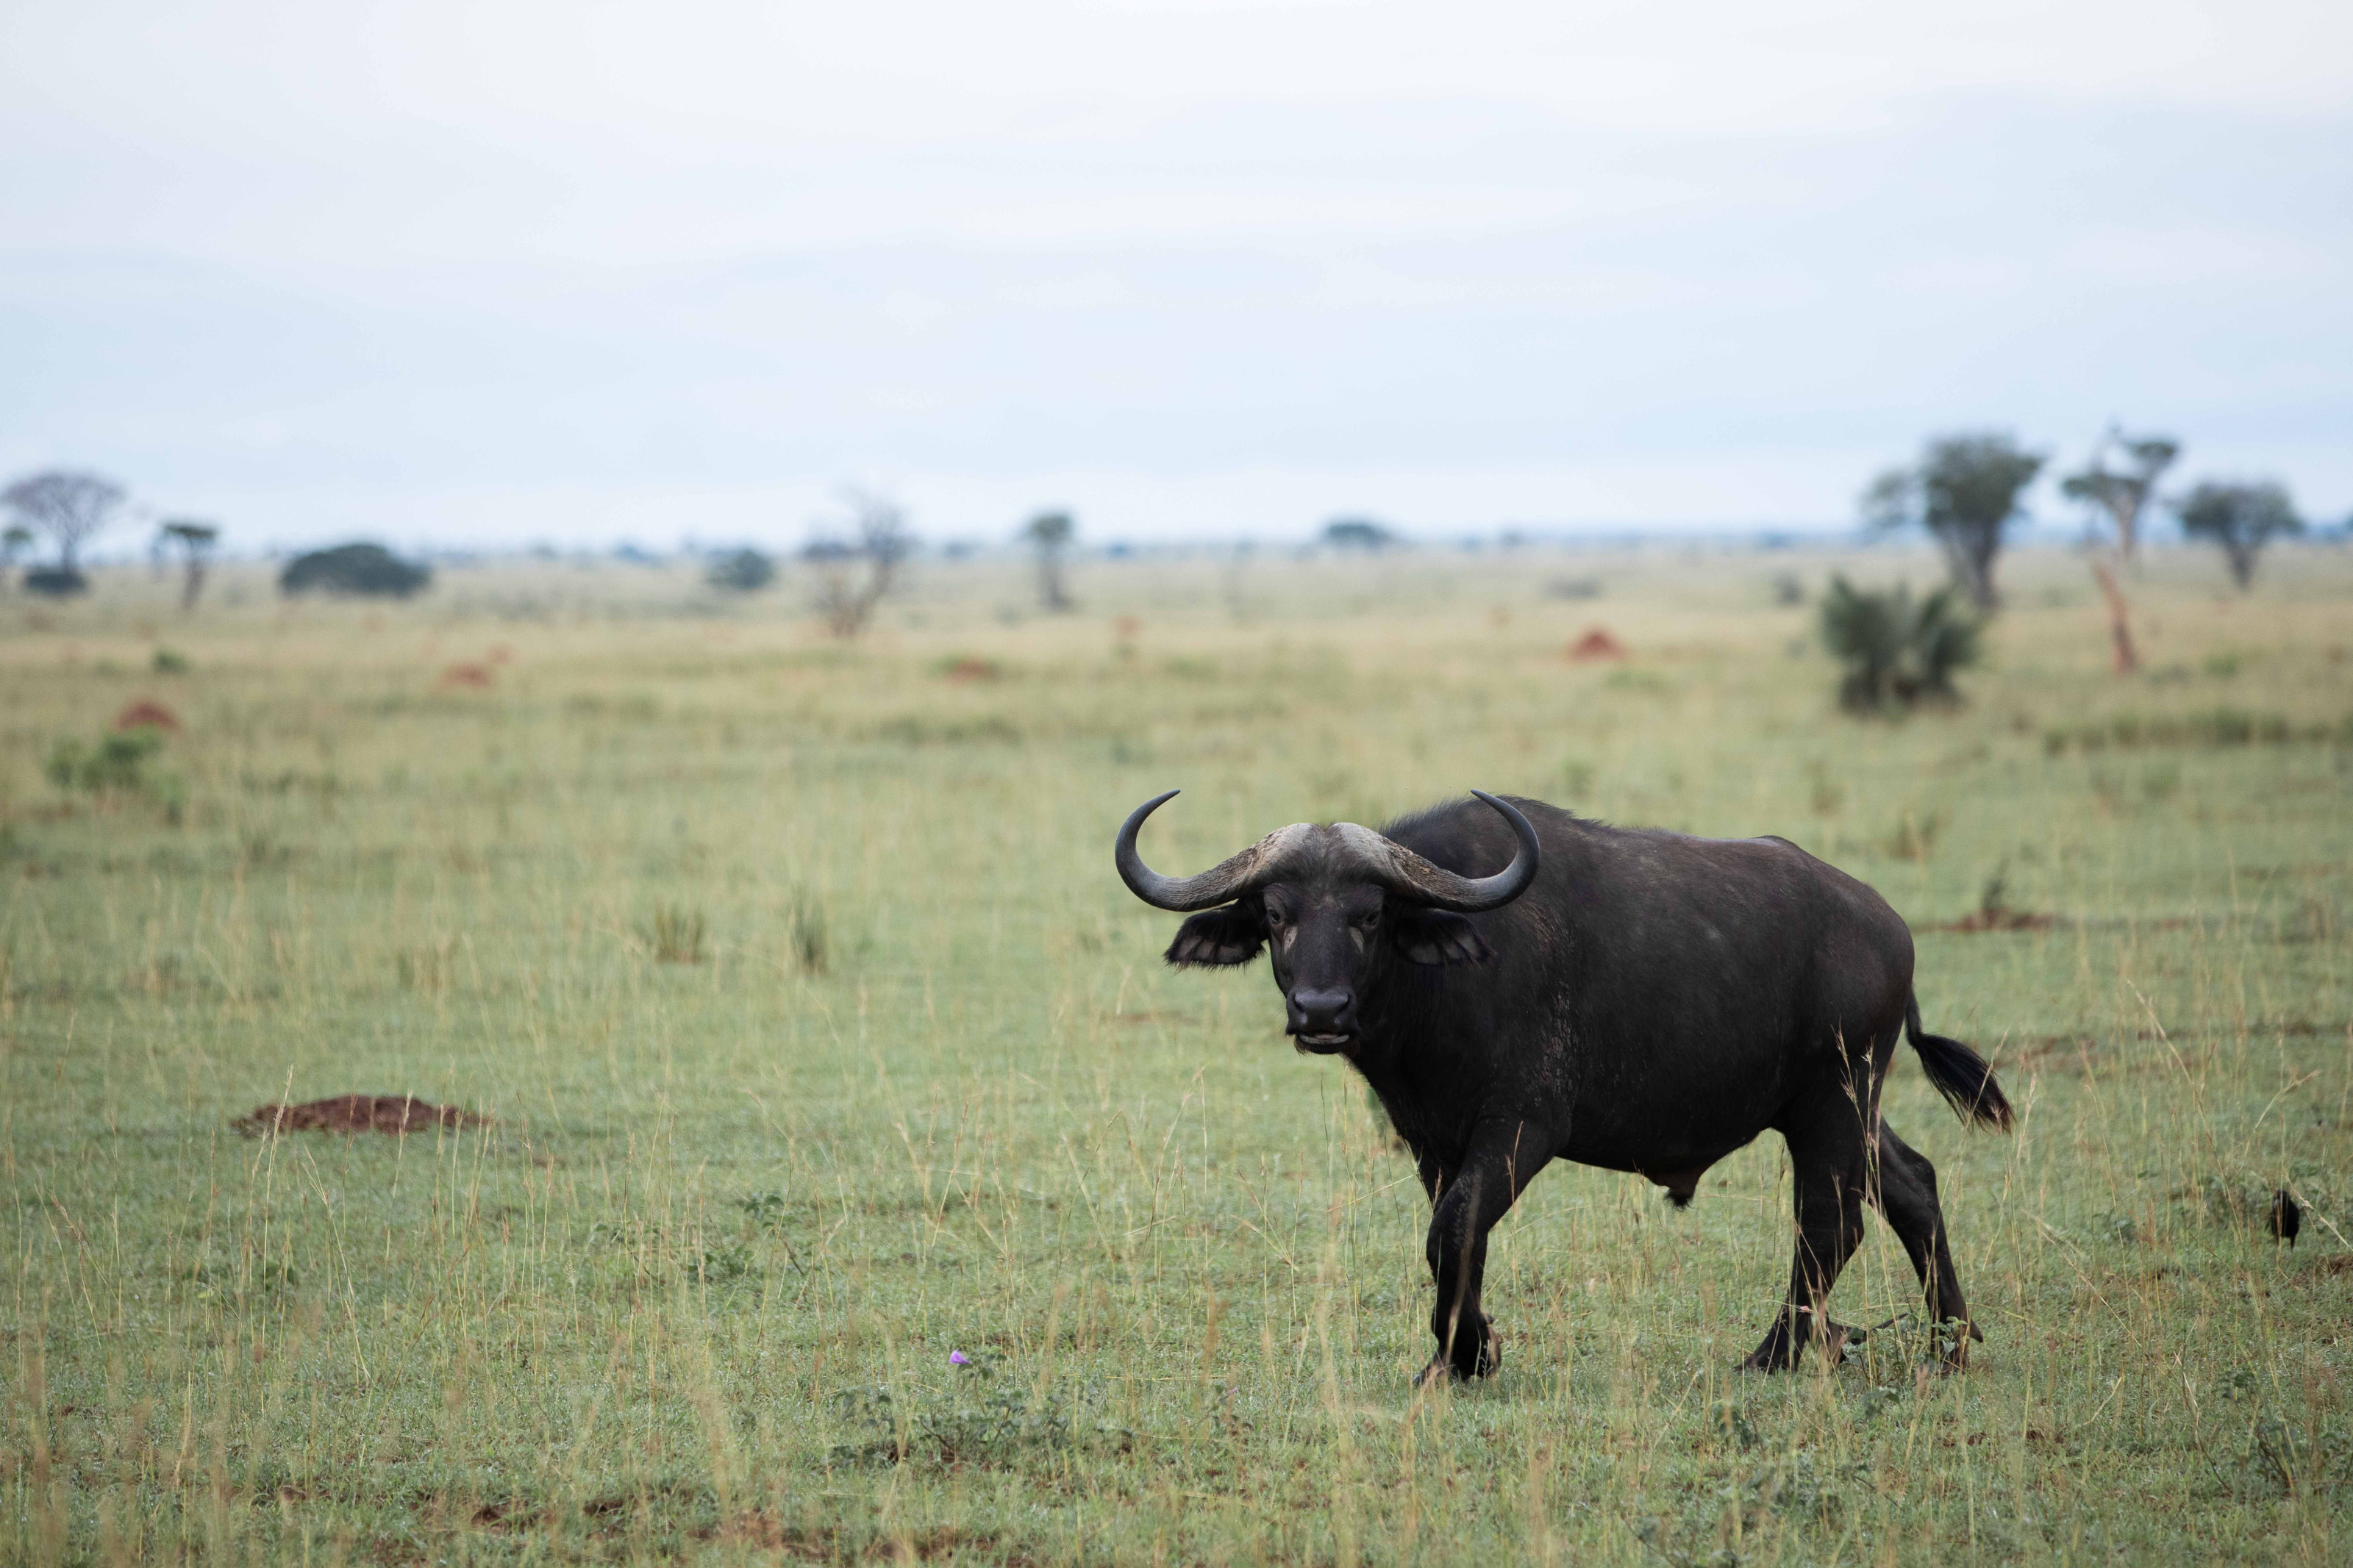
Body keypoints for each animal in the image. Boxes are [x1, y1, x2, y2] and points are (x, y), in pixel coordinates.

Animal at [1115, 789, 2012, 1385]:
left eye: (1370, 914)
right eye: (1275, 913)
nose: (1320, 1010)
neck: (1440, 991)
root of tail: (1886, 926)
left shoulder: (1523, 1127)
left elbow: (1452, 1230)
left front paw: (1464, 1356)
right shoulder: (1433, 1141)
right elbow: (1457, 1235)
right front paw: (1463, 1353)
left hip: (1833, 1100)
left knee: (1828, 1223)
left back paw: (1774, 1355)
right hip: (1841, 1107)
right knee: (1912, 1185)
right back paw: (1951, 1341)